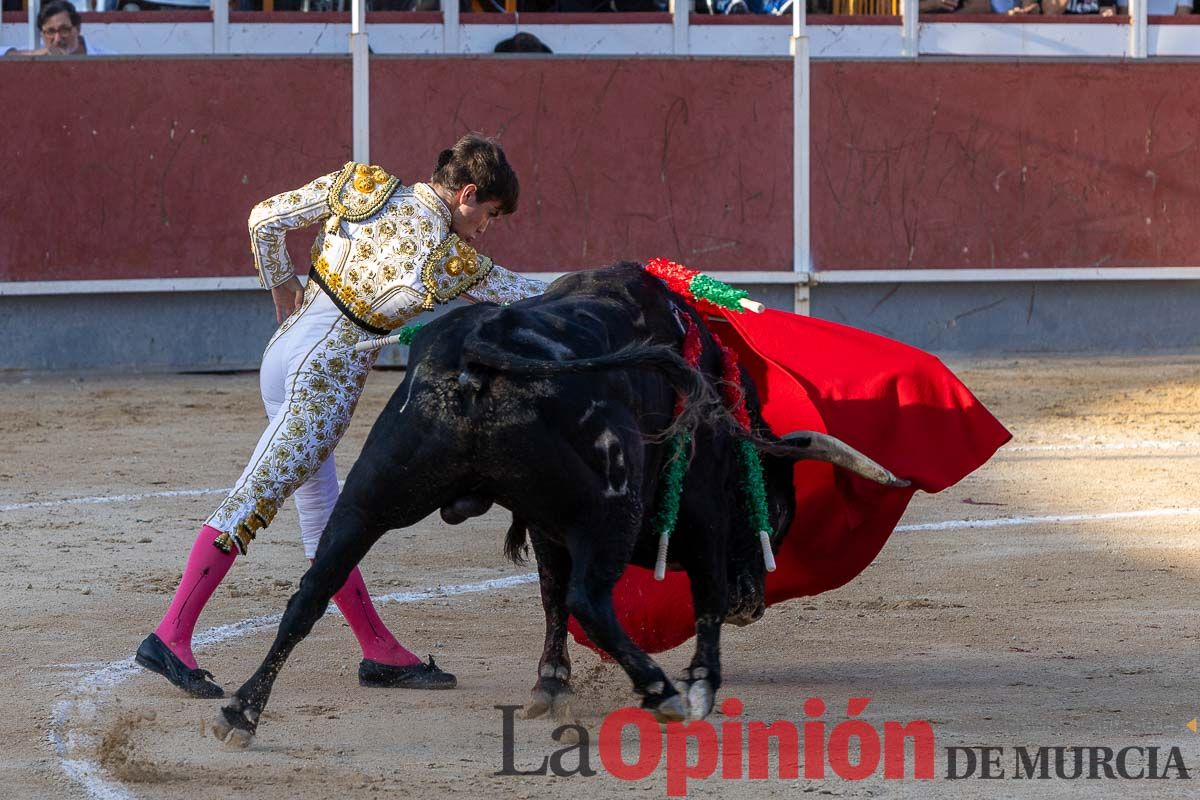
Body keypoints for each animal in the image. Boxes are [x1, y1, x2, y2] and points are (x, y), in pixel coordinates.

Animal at [211, 262, 902, 743]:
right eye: (775, 513)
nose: (751, 603)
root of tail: (478, 349)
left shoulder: (546, 523)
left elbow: (547, 596)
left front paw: (550, 684)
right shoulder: (702, 507)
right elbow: (692, 595)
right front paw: (702, 686)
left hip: (370, 496)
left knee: (312, 589)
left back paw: (241, 711)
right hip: (615, 505)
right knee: (591, 599)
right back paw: (662, 692)